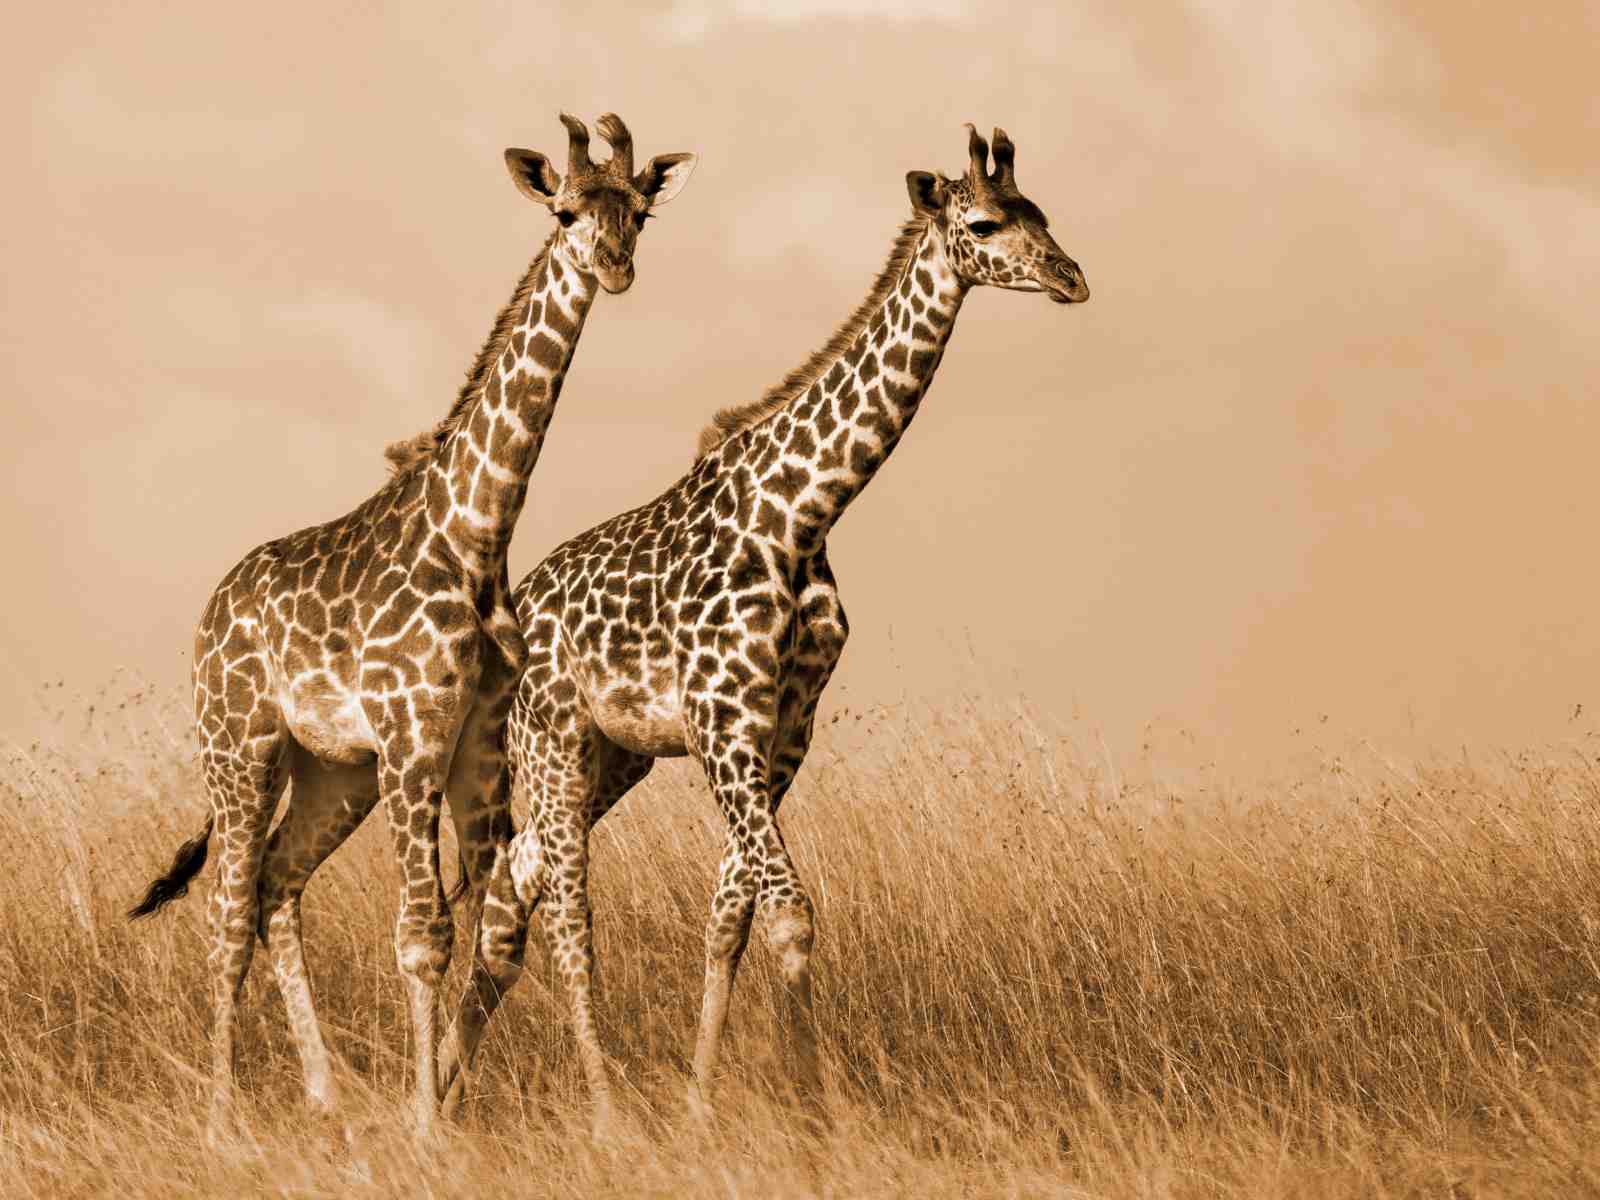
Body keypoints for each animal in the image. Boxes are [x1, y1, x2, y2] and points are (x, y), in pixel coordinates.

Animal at [126, 111, 697, 1141]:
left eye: (637, 212)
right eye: (564, 210)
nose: (614, 266)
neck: (475, 532)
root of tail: (211, 609)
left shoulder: (473, 747)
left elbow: (480, 922)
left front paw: (437, 1102)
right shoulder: (413, 736)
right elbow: (421, 933)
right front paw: (426, 1121)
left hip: (333, 771)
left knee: (276, 885)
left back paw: (322, 1092)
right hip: (241, 744)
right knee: (226, 912)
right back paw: (223, 1118)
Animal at [432, 123, 1089, 1122]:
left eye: (1041, 212)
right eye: (984, 221)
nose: (1071, 277)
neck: (803, 513)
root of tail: (514, 613)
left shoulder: (785, 727)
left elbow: (730, 916)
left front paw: (703, 1104)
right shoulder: (723, 720)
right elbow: (790, 913)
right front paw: (819, 1109)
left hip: (610, 758)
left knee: (513, 893)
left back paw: (447, 1096)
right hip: (552, 743)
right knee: (560, 911)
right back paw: (586, 1111)